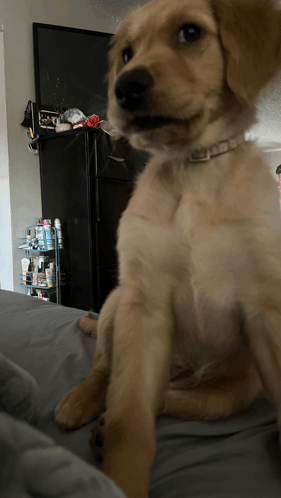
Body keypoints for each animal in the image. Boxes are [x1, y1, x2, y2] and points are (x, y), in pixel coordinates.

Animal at [55, 0, 281, 496]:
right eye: (126, 54)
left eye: (190, 33)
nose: (125, 87)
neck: (192, 166)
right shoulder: (145, 302)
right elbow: (129, 419)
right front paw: (119, 479)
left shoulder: (266, 306)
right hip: (117, 305)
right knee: (106, 372)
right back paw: (81, 403)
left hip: (236, 389)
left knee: (169, 398)